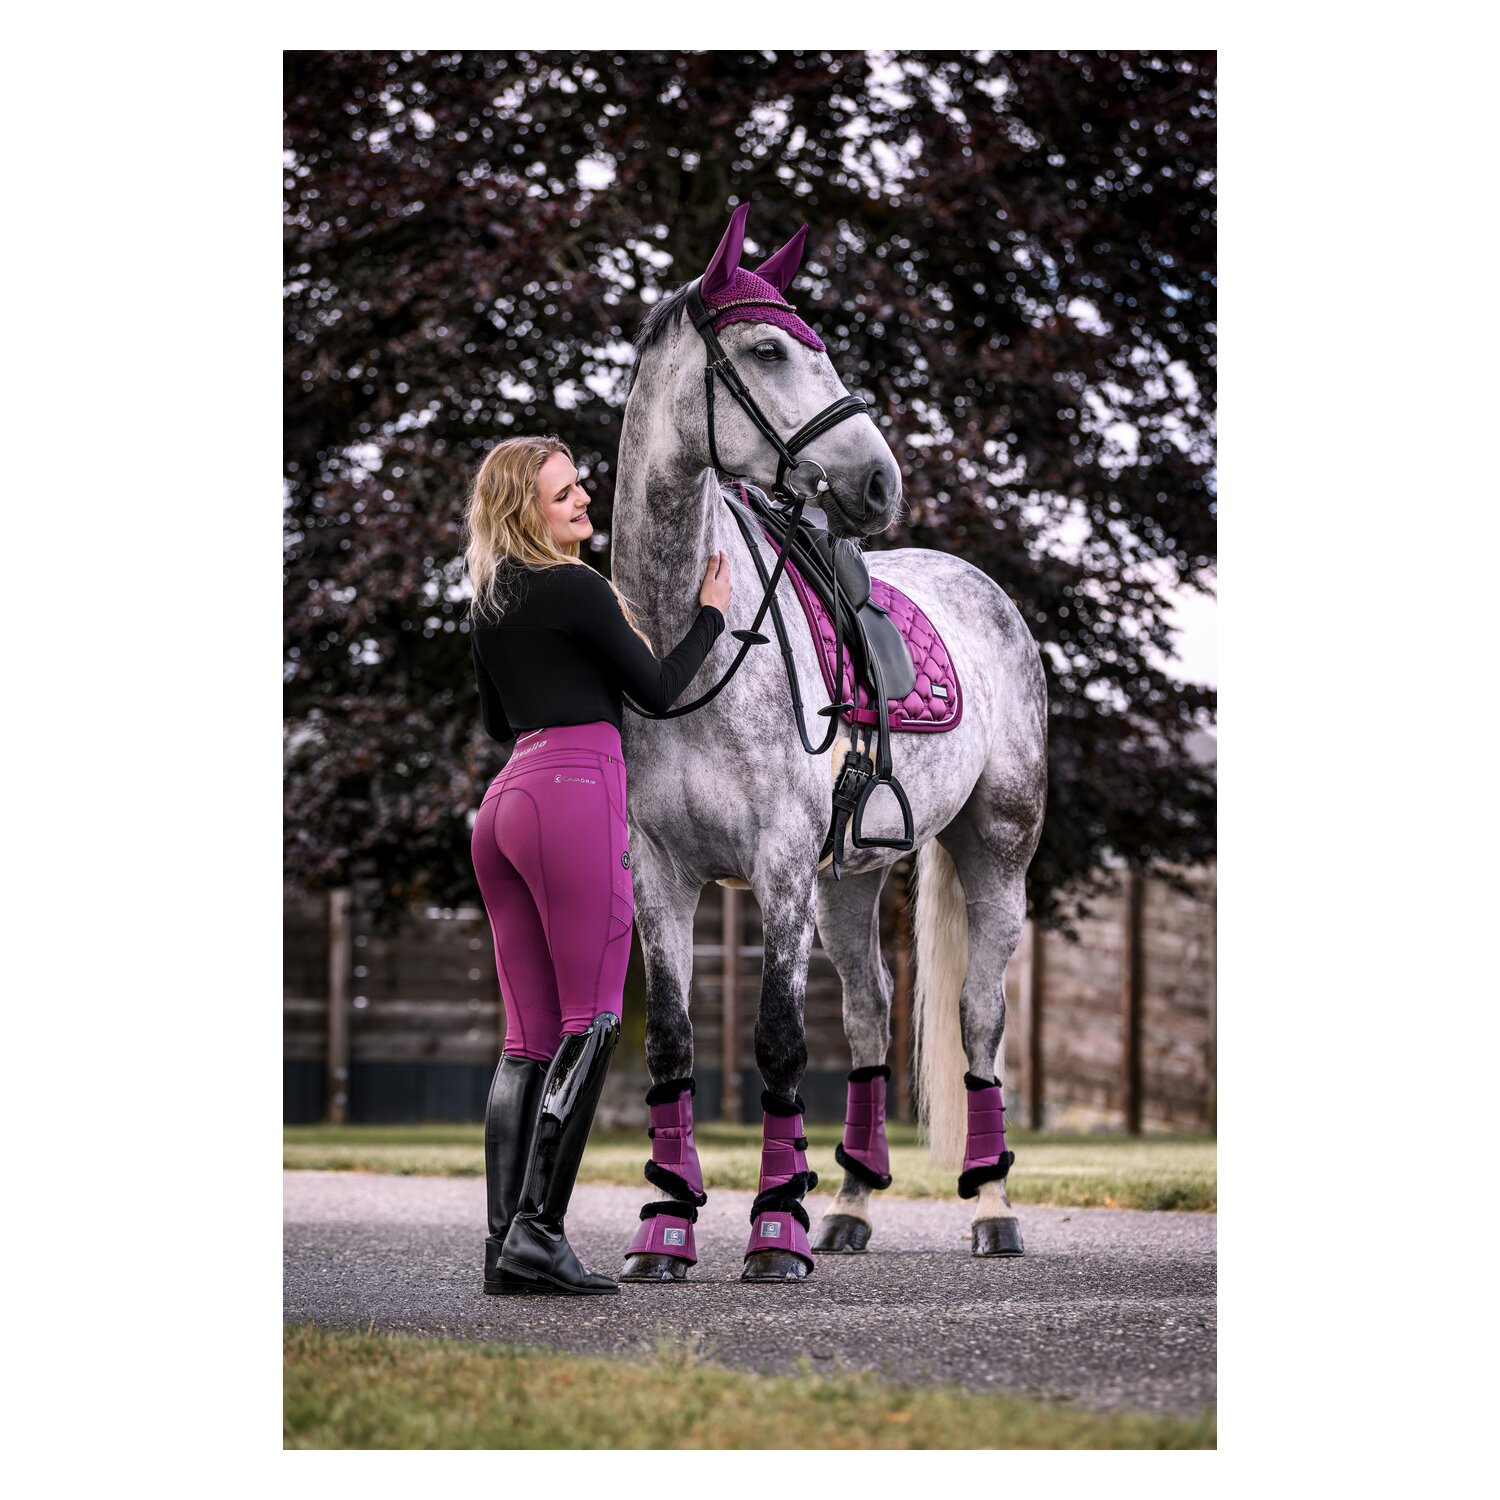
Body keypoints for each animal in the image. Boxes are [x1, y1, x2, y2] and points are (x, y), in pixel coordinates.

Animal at [608, 204, 1048, 1281]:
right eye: (768, 350)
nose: (879, 481)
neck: (687, 646)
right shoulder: (660, 873)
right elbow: (675, 1045)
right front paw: (666, 1227)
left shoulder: (776, 870)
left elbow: (775, 1043)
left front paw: (775, 1228)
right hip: (852, 879)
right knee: (870, 1016)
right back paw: (850, 1203)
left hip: (996, 855)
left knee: (979, 1022)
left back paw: (992, 1207)